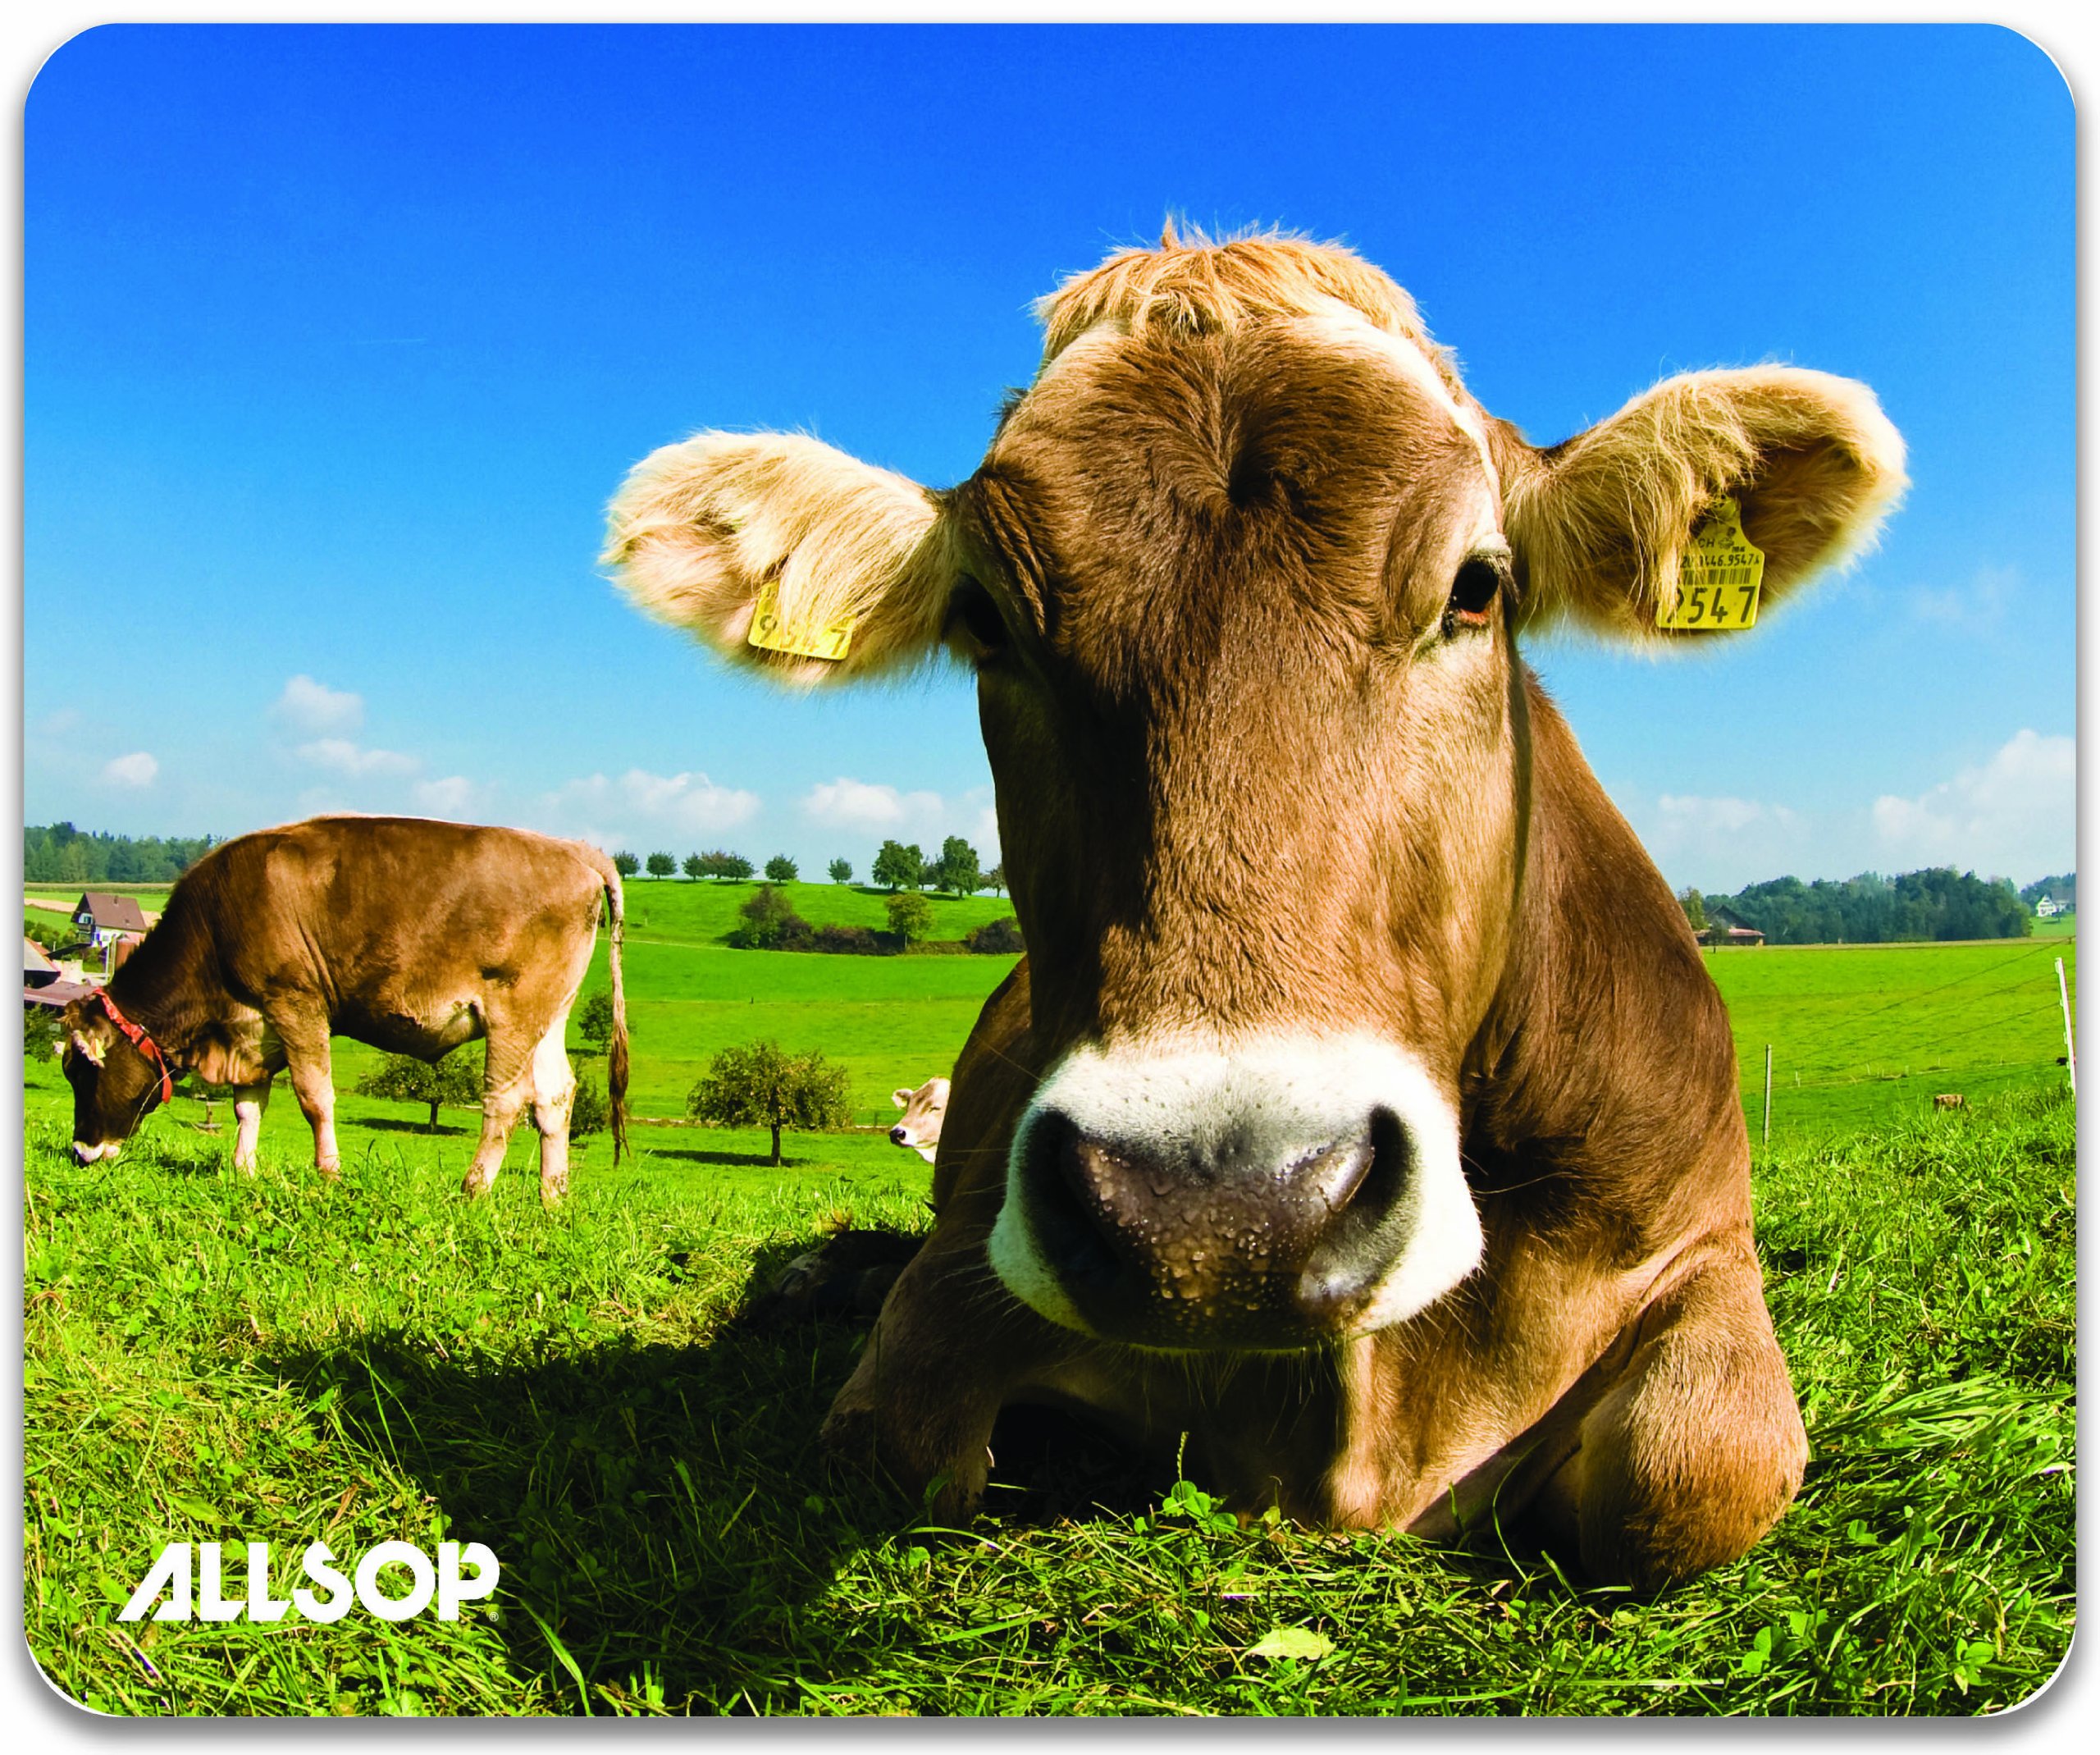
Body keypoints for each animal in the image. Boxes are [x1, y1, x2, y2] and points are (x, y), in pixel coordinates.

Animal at [57, 816, 629, 1203]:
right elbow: (248, 1105)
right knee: (555, 1096)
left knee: (505, 1100)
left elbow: (314, 1097)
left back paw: (474, 1189)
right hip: (548, 1015)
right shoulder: (255, 1024)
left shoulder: (296, 1003)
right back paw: (552, 1197)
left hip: (512, 1015)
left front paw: (328, 1173)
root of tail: (574, 850)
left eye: (82, 1071)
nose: (81, 1152)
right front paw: (243, 1170)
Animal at [601, 230, 1905, 1588]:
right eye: (987, 619)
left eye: (1477, 586)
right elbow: (896, 1435)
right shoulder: (968, 1265)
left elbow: (1696, 1470)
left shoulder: (1704, 1249)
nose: (1219, 1215)